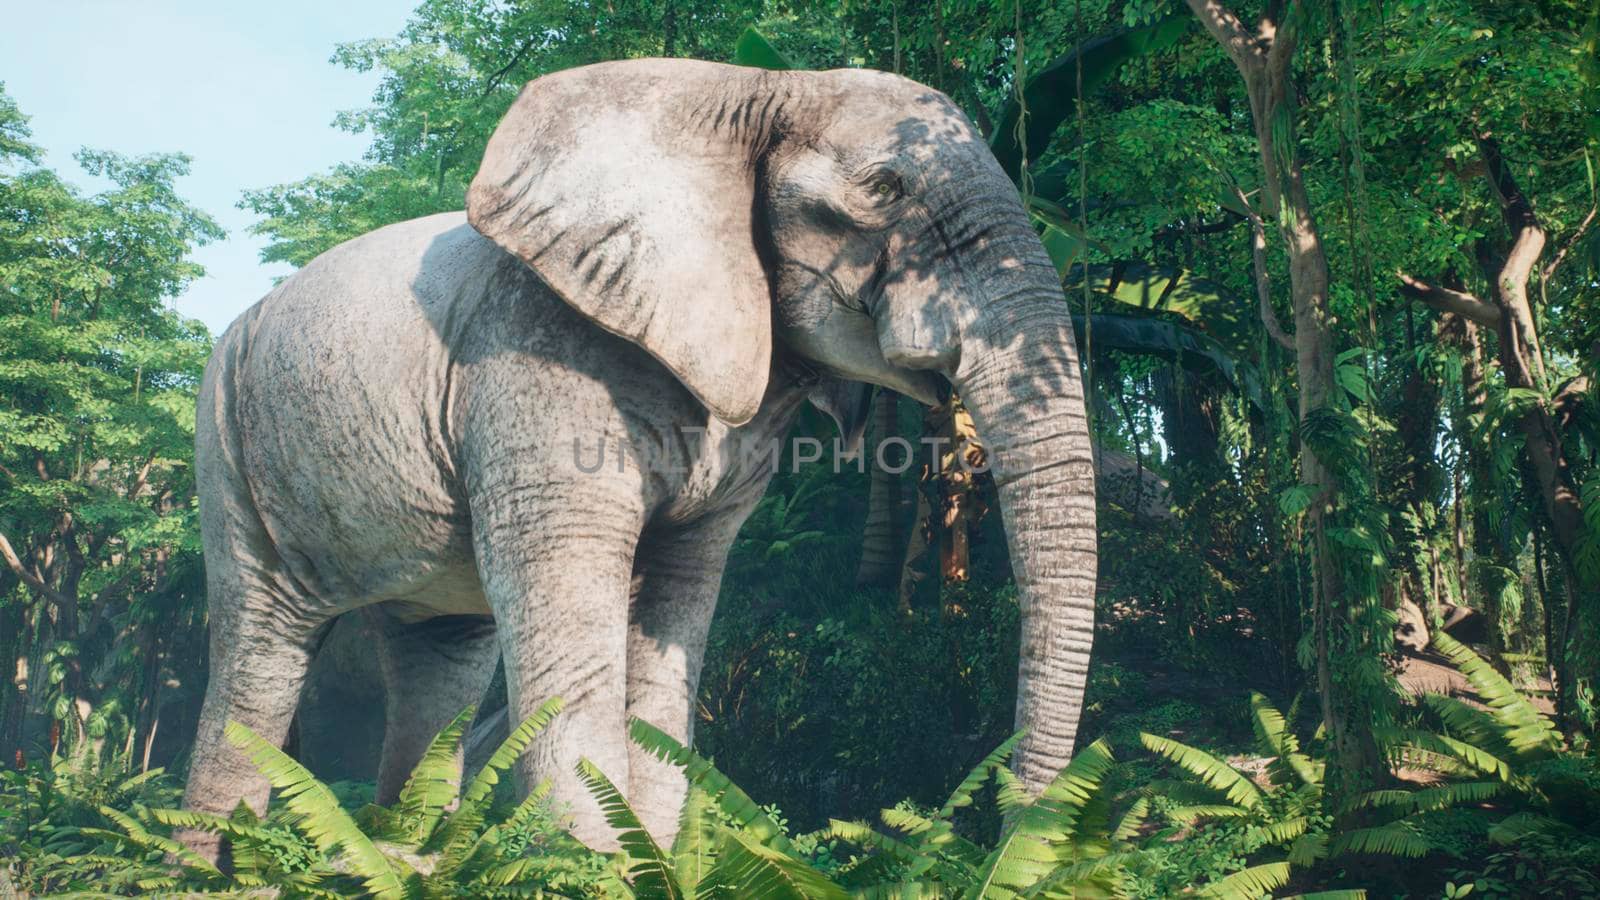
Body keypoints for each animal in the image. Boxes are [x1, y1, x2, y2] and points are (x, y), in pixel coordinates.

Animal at [178, 57, 1100, 851]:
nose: (1002, 838)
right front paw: (597, 866)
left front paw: (650, 856)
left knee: (441, 664)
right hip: (226, 444)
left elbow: (673, 609)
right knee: (260, 656)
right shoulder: (537, 359)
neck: (755, 88)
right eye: (882, 188)